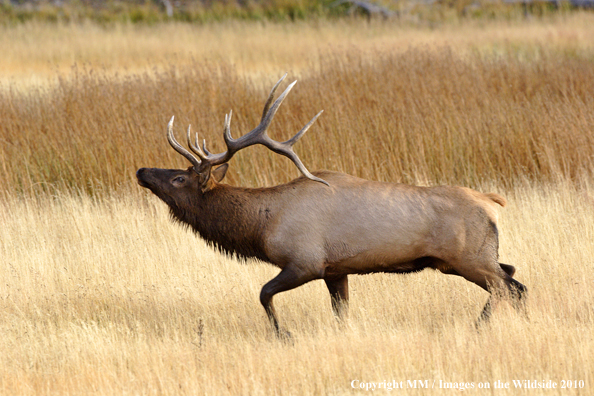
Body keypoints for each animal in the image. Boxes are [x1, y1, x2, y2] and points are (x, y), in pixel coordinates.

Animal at [136, 74, 524, 338]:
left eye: (179, 178)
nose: (141, 171)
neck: (261, 225)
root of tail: (492, 201)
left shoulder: (305, 262)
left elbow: (263, 293)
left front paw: (284, 335)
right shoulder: (337, 270)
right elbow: (341, 313)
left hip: (468, 258)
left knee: (511, 287)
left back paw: (480, 327)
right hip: (471, 258)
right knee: (512, 274)